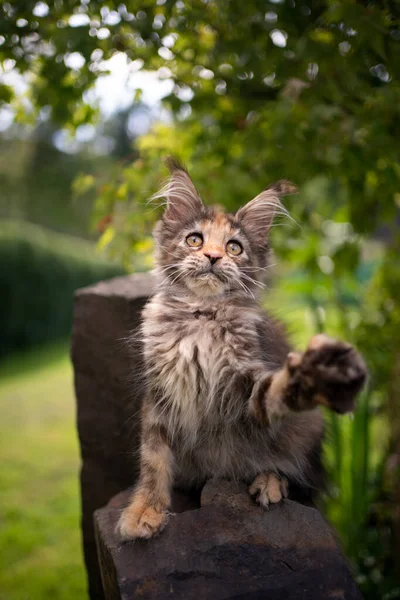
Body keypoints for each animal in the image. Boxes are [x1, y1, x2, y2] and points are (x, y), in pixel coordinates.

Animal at [117, 158, 368, 540]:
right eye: (195, 240)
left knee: (293, 472)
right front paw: (145, 510)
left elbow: (275, 392)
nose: (213, 256)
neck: (202, 316)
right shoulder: (160, 394)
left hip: (307, 428)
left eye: (234, 247)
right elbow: (153, 460)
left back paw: (269, 482)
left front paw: (315, 375)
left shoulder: (246, 382)